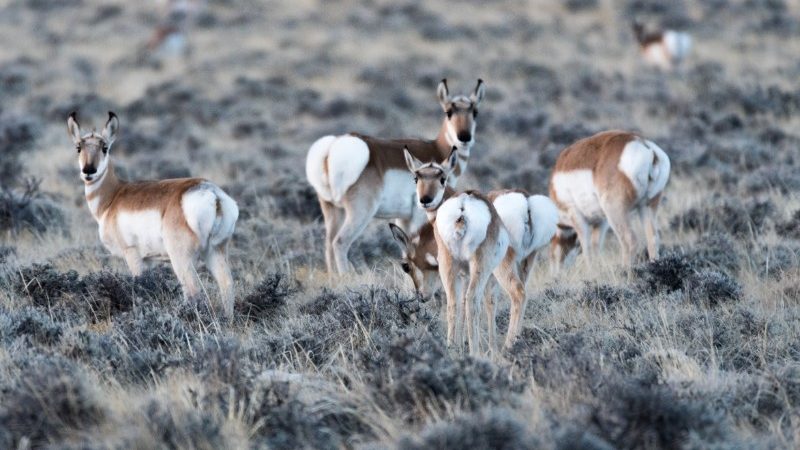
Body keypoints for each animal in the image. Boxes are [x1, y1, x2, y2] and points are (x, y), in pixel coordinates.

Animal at [67, 112, 238, 316]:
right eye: (78, 147)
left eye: (105, 148)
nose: (88, 171)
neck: (113, 196)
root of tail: (212, 193)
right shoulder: (149, 261)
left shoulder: (133, 255)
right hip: (215, 251)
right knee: (227, 284)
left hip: (181, 258)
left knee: (193, 291)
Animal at [306, 78, 484, 272]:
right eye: (448, 112)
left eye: (475, 112)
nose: (464, 137)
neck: (437, 149)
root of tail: (332, 148)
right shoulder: (419, 216)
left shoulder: (402, 218)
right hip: (360, 212)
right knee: (339, 242)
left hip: (332, 209)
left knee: (328, 243)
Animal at [552, 128, 668, 268]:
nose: (555, 272)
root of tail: (647, 148)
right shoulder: (601, 222)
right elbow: (595, 247)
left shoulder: (578, 218)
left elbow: (586, 248)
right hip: (646, 206)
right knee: (653, 239)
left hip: (616, 212)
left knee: (630, 240)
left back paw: (625, 270)